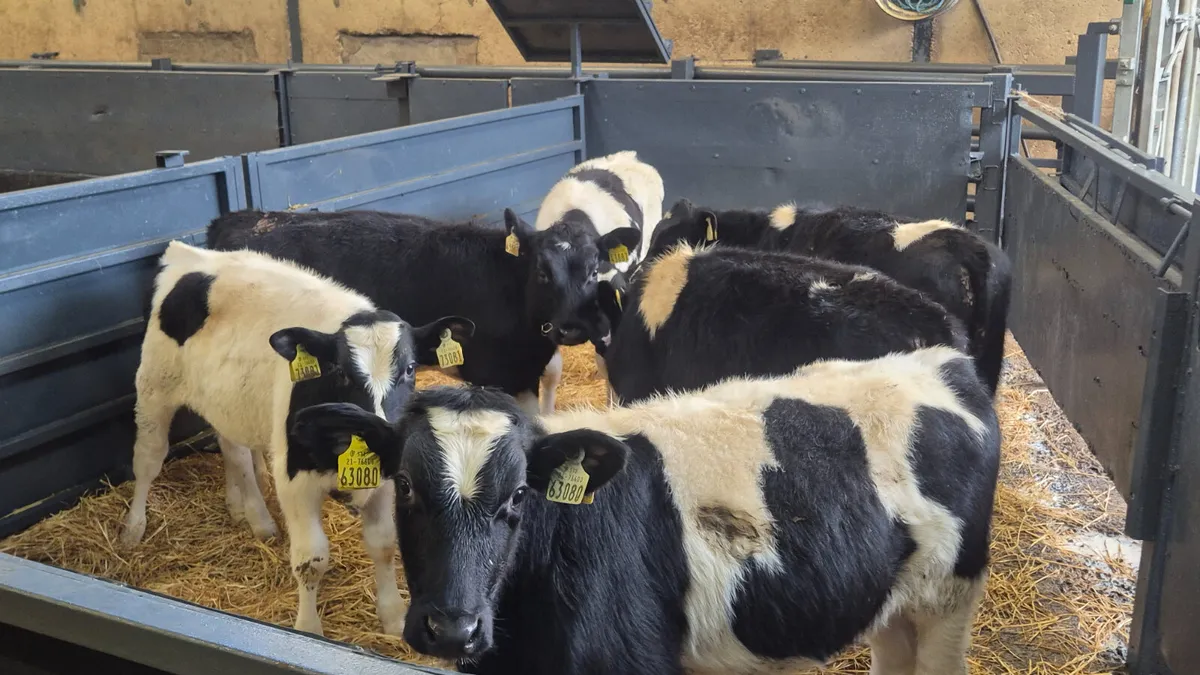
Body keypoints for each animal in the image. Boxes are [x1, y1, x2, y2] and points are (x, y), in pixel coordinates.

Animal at [118, 240, 473, 637]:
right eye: (339, 371)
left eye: (410, 369)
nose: (379, 431)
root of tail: (190, 252)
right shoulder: (295, 480)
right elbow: (311, 560)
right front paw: (308, 628)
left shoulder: (386, 477)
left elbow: (383, 544)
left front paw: (393, 617)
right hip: (154, 389)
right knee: (148, 459)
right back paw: (134, 528)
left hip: (227, 400)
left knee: (234, 452)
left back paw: (251, 514)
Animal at [207, 208, 610, 416]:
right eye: (542, 272)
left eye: (594, 271)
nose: (571, 329)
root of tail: (241, 217)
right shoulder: (495, 374)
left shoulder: (523, 374)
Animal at [288, 345, 1001, 674]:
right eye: (405, 484)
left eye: (518, 494)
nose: (452, 628)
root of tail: (941, 361)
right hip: (893, 605)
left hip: (948, 601)